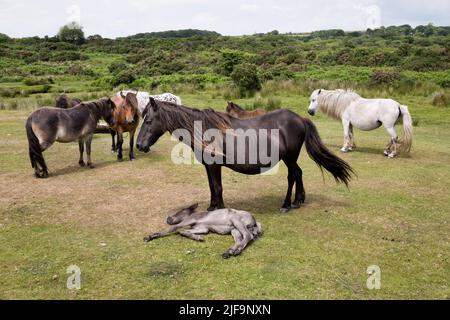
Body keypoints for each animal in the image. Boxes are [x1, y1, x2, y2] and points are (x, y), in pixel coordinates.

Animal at [137, 97, 356, 212]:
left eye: (148, 120)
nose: (139, 145)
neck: (206, 129)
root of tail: (299, 119)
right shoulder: (209, 165)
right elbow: (212, 187)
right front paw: (212, 207)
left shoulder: (215, 165)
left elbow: (218, 187)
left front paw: (220, 209)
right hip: (291, 158)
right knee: (299, 173)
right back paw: (298, 200)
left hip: (289, 158)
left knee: (292, 175)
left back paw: (286, 204)